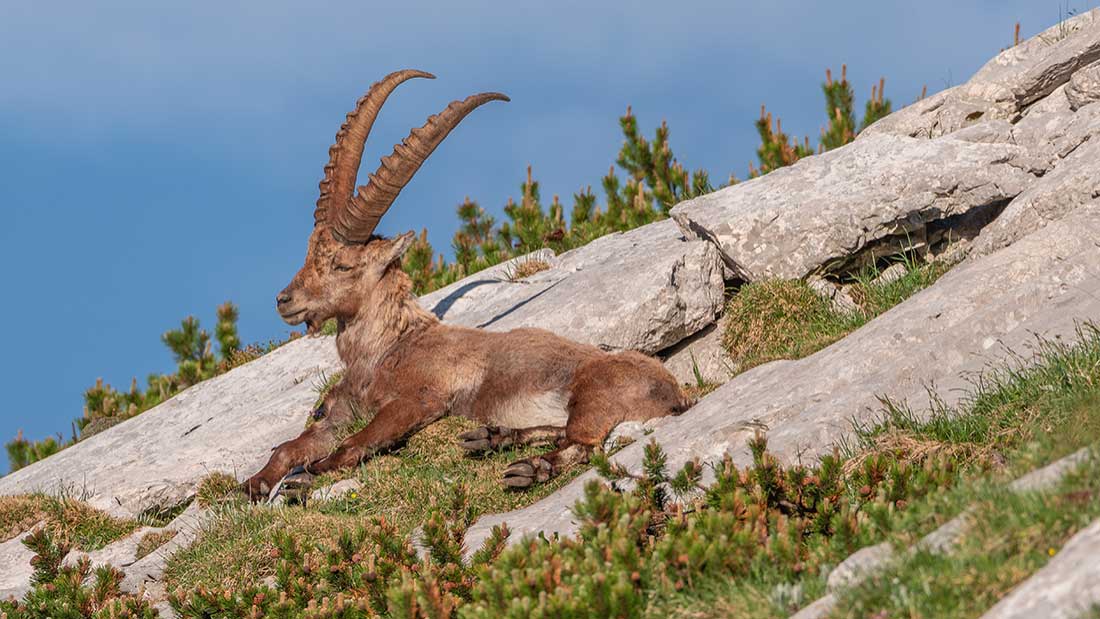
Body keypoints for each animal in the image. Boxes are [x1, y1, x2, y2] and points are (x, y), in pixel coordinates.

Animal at [244, 70, 691, 501]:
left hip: (594, 393)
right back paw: (492, 438)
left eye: (342, 265)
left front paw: (307, 477)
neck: (386, 351)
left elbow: (354, 444)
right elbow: (290, 447)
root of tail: (675, 392)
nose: (285, 300)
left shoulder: (420, 399)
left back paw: (528, 469)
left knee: (581, 442)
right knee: (559, 432)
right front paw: (254, 484)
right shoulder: (342, 412)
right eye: (309, 252)